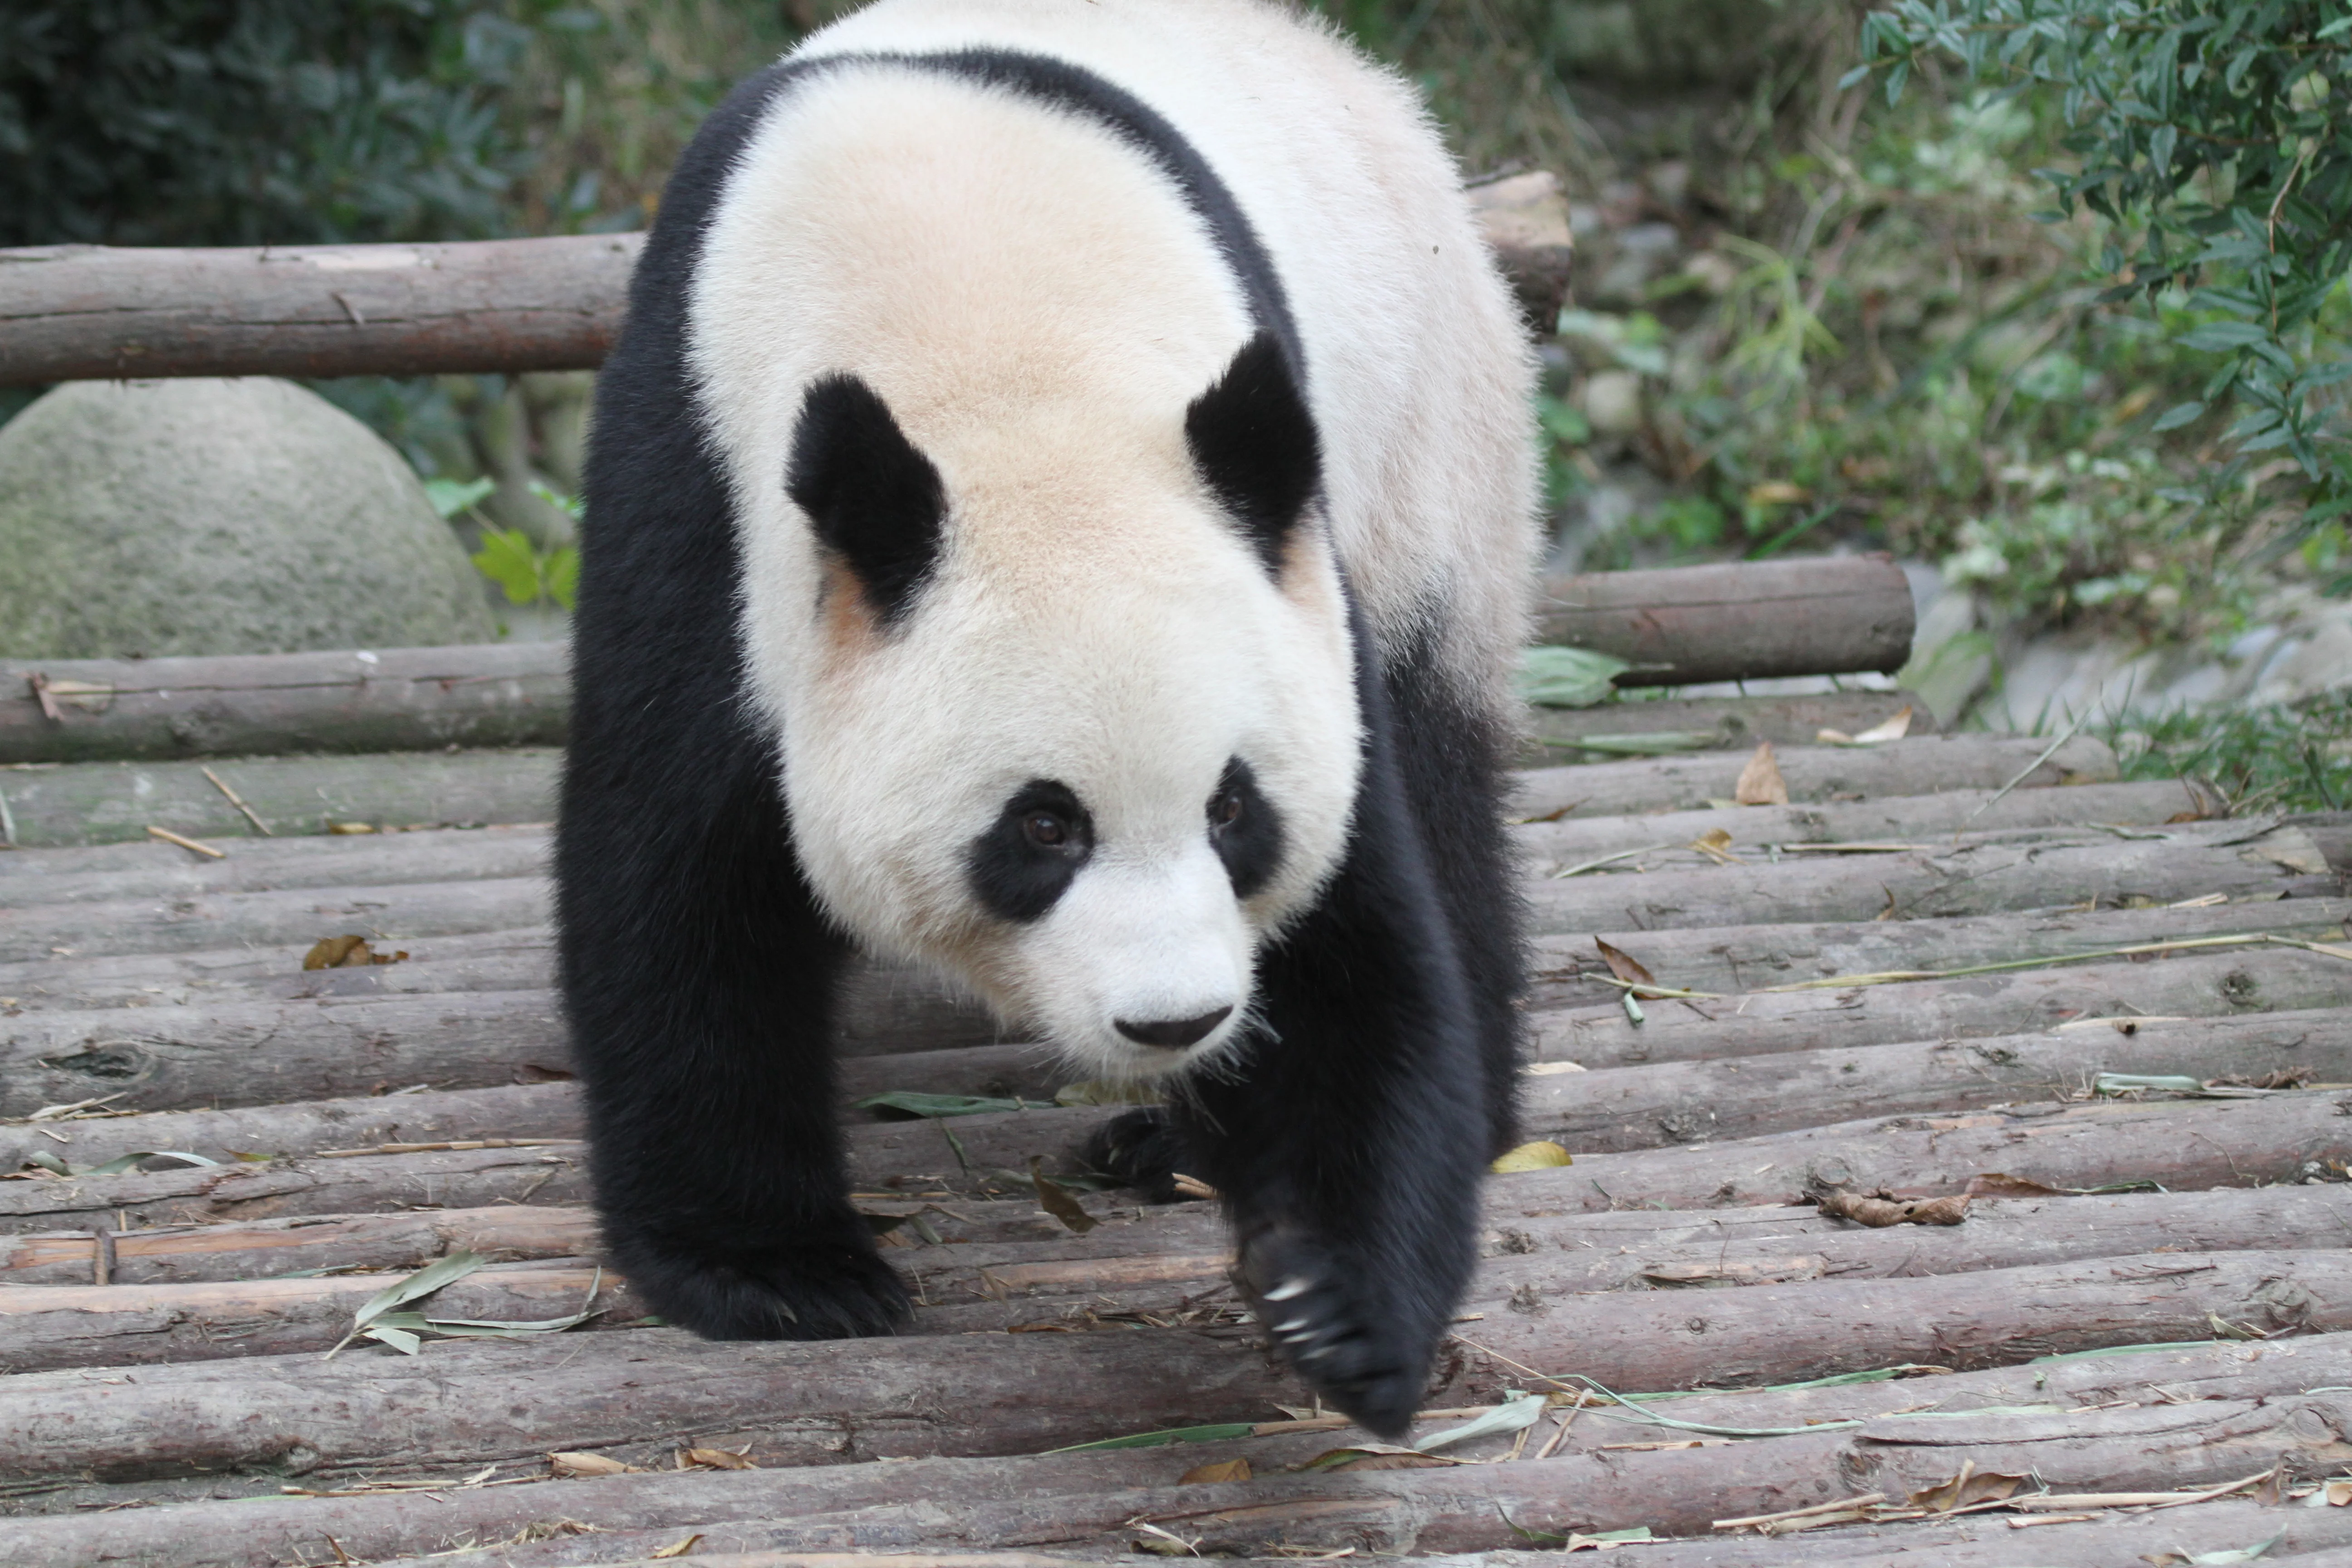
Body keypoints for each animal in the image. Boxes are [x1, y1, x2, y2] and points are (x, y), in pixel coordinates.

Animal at [558, 0, 1539, 1437]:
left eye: (1233, 809)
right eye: (1041, 827)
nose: (1176, 1022)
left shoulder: (1279, 563)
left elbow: (1354, 936)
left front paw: (1339, 1304)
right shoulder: (702, 493)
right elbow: (681, 870)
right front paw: (776, 1270)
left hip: (1429, 446)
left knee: (1443, 766)